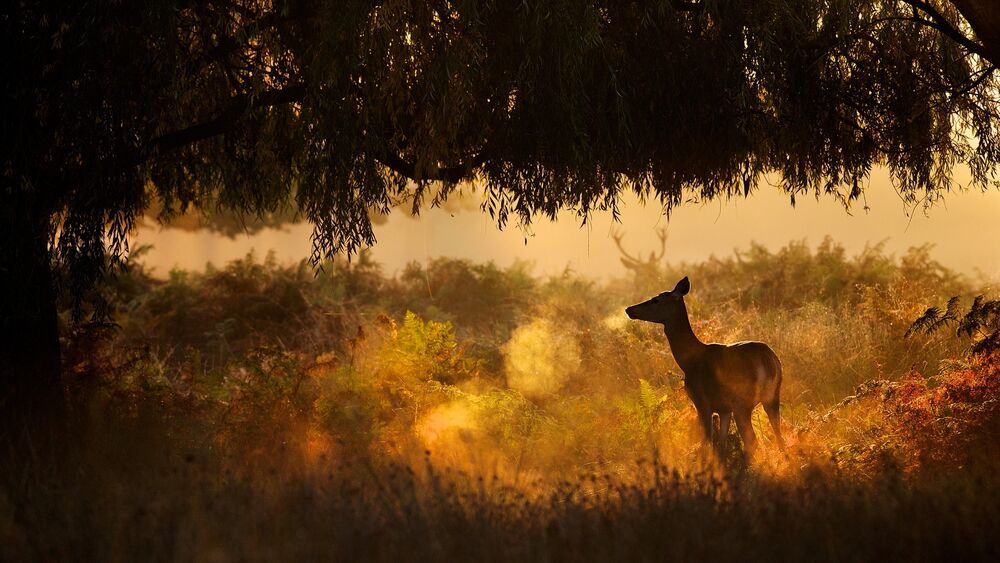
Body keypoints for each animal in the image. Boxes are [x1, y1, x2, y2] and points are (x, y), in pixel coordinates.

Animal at [626, 277, 785, 461]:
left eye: (656, 299)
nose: (629, 309)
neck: (688, 361)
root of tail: (767, 360)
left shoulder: (701, 402)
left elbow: (707, 443)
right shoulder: (724, 409)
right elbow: (721, 444)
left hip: (742, 401)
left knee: (752, 441)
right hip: (772, 397)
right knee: (779, 436)